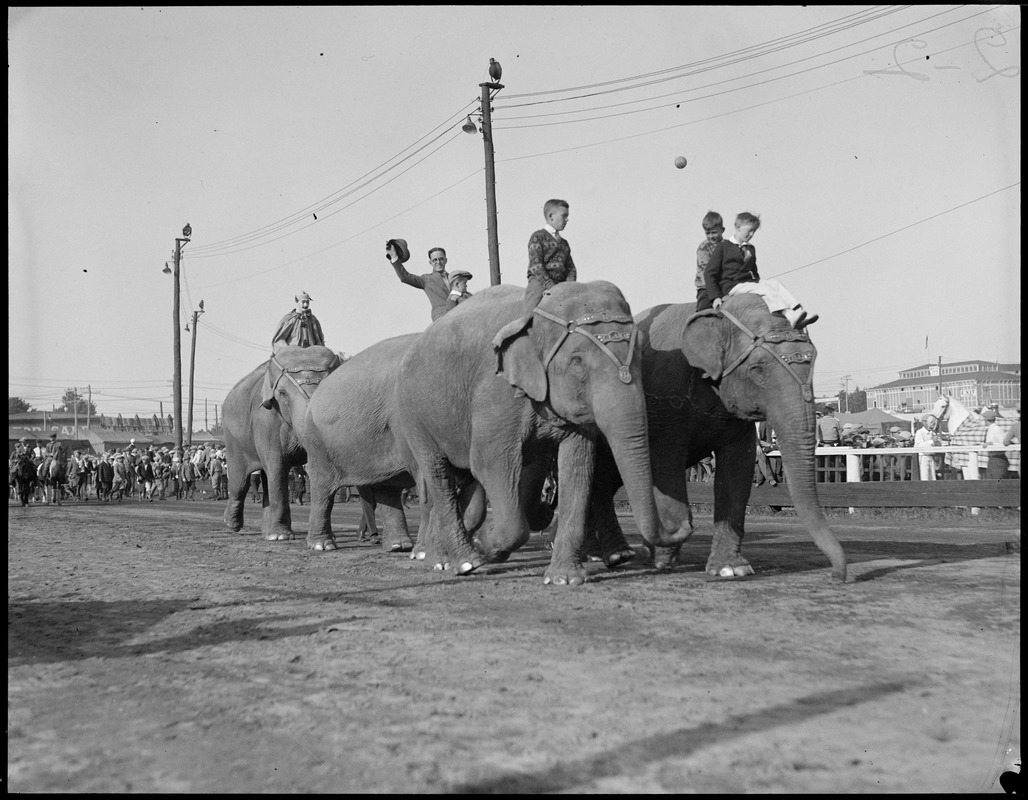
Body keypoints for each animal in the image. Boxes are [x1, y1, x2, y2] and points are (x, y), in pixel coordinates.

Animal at [222, 343, 341, 538]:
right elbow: (277, 467)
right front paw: (281, 536)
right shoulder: (267, 420)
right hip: (233, 439)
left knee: (264, 477)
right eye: (282, 393)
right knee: (240, 482)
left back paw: (265, 532)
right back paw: (233, 525)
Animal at [392, 277, 690, 584]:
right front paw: (485, 545)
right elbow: (491, 463)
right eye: (577, 361)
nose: (680, 526)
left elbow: (578, 466)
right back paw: (463, 563)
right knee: (439, 475)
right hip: (413, 414)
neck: (538, 311)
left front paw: (564, 579)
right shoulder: (496, 393)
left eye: (641, 353)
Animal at [592, 292, 847, 579]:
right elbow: (666, 464)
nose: (836, 576)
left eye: (813, 360)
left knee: (604, 482)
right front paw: (663, 561)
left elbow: (738, 466)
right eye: (758, 369)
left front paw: (731, 569)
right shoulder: (667, 396)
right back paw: (613, 555)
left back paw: (614, 554)